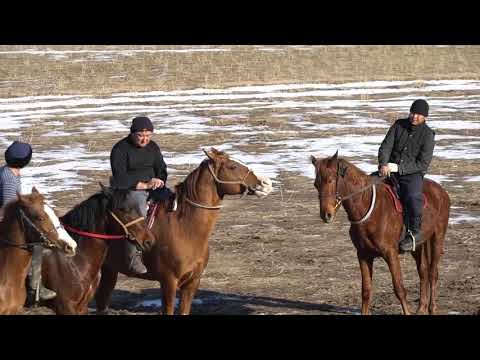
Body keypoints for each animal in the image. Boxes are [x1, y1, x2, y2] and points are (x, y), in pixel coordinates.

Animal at [94, 148, 274, 314]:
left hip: (110, 270)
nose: (266, 183)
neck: (186, 228)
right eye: (232, 166)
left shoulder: (192, 282)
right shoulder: (168, 282)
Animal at [312, 152, 450, 316]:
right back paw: (421, 308)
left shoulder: (390, 253)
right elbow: (366, 290)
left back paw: (432, 308)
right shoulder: (363, 255)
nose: (326, 215)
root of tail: (441, 191)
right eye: (316, 184)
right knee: (423, 271)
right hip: (418, 246)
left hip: (437, 239)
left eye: (331, 180)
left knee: (432, 273)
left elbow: (399, 288)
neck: (367, 208)